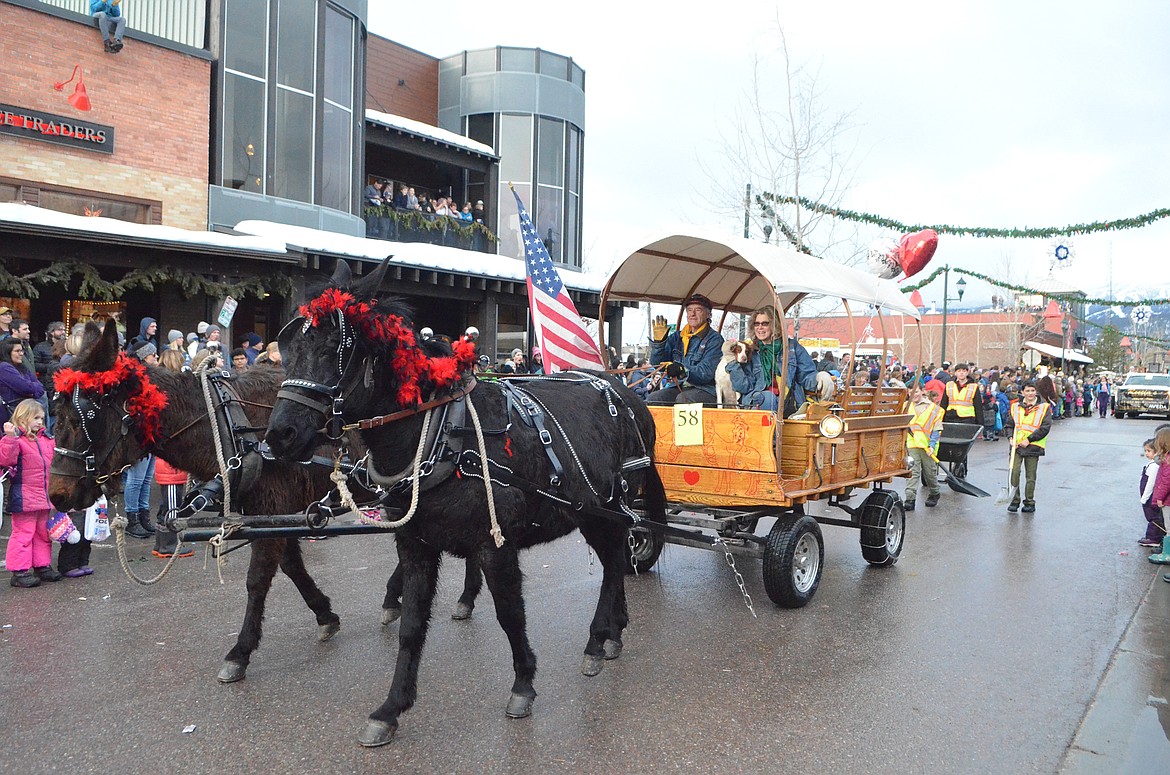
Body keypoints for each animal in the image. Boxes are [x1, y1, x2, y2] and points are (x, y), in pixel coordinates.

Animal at [47, 325, 482, 683]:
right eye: (57, 411)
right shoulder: (274, 513)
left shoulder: (272, 509)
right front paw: (325, 615)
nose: (57, 494)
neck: (231, 427)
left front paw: (240, 652)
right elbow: (291, 567)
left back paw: (461, 596)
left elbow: (257, 580)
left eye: (85, 415)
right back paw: (404, 597)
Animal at [267, 262, 669, 753]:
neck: (442, 435)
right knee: (616, 560)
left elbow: (510, 614)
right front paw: (391, 708)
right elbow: (411, 626)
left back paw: (597, 640)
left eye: (332, 349)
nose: (279, 435)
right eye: (288, 347)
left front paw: (523, 684)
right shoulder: (415, 546)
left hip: (605, 508)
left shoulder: (495, 546)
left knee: (614, 563)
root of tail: (626, 394)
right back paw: (613, 632)